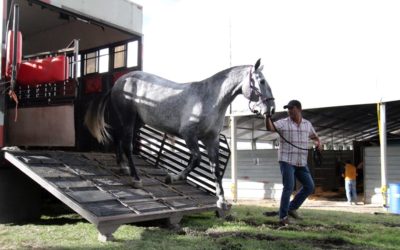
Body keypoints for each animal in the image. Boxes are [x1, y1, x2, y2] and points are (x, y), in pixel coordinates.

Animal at [83, 59, 274, 209]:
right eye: (262, 81)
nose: (270, 109)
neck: (209, 99)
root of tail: (119, 82)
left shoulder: (211, 139)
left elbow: (216, 169)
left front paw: (221, 201)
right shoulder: (189, 135)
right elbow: (196, 160)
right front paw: (173, 178)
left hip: (137, 121)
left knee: (118, 139)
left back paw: (123, 166)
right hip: (128, 117)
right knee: (127, 145)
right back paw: (135, 178)